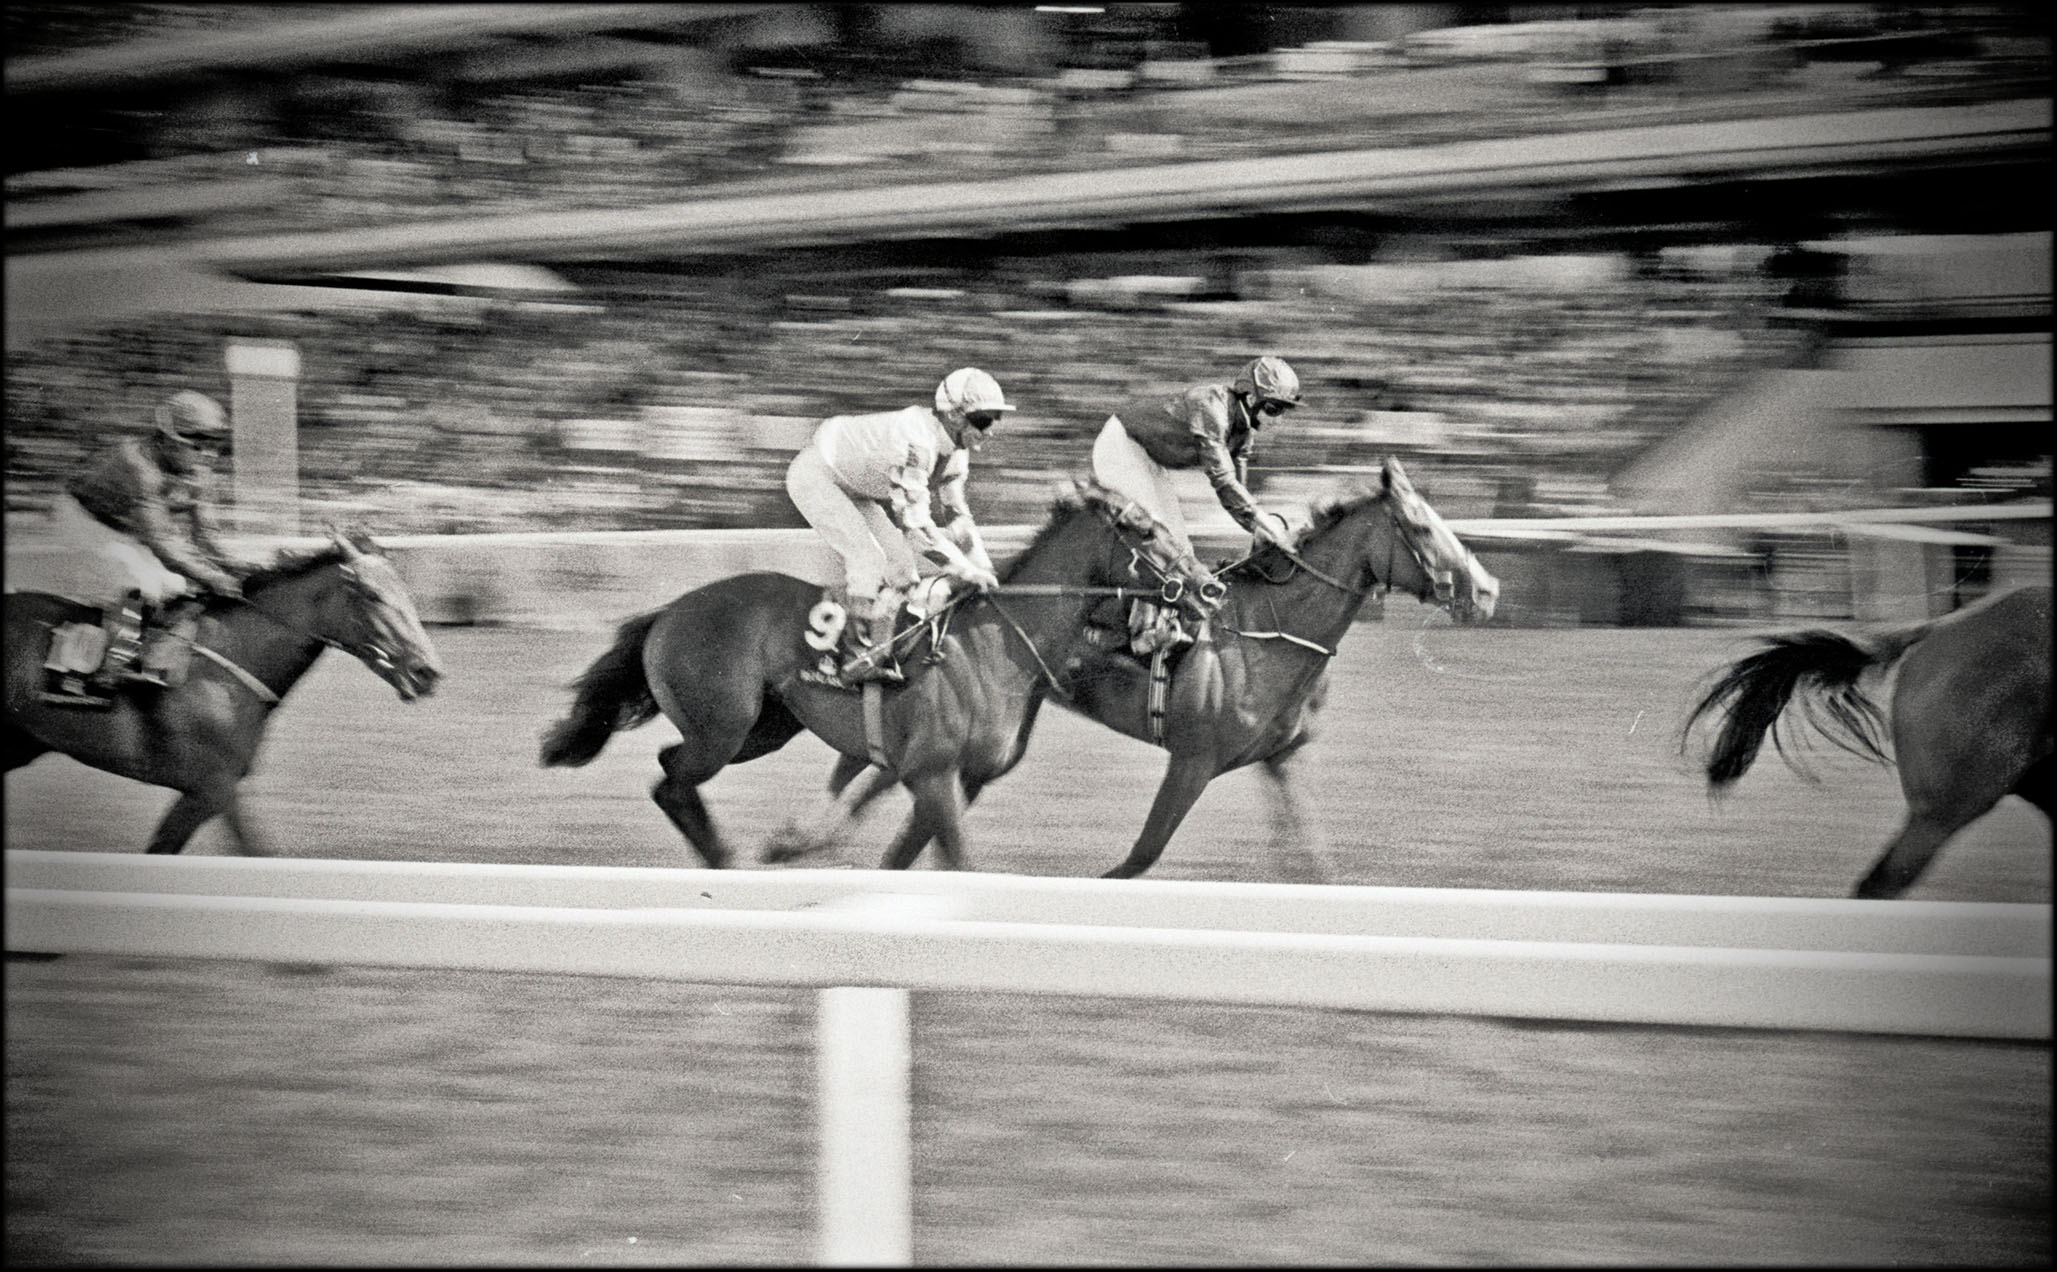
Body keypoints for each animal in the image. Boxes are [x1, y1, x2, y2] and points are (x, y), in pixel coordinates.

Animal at [5, 524, 442, 852]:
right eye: (372, 595)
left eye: (406, 593)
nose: (427, 672)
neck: (229, 663)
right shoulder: (212, 787)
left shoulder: (216, 789)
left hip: (22, 743)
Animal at [543, 479, 1217, 868]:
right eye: (1147, 531)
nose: (1208, 586)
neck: (1002, 647)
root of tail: (667, 612)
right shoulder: (932, 773)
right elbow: (958, 860)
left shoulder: (953, 779)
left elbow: (902, 856)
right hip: (724, 728)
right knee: (672, 780)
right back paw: (725, 859)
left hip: (765, 729)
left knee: (668, 770)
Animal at [769, 458, 1497, 880]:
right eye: (1421, 530)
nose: (1485, 590)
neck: (1270, 631)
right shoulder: (1193, 758)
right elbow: (1143, 854)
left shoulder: (1282, 758)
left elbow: (1313, 864)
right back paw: (798, 841)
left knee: (877, 773)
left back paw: (800, 840)